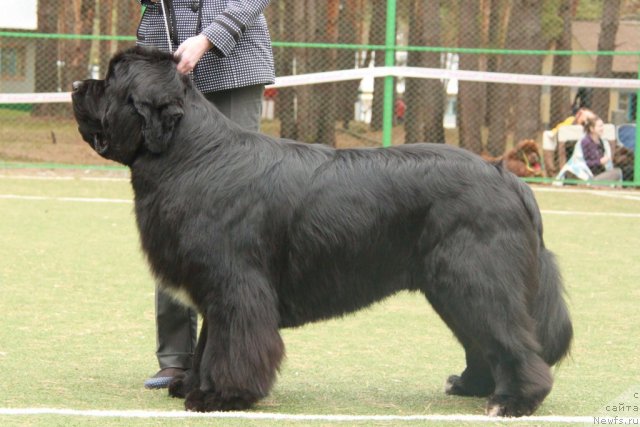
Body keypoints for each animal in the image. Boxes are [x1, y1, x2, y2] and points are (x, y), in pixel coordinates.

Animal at [72, 47, 572, 418]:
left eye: (112, 78)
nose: (77, 86)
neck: (194, 156)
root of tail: (506, 176)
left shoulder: (237, 286)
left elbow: (233, 345)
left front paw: (220, 396)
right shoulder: (215, 288)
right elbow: (209, 342)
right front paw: (194, 385)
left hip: (474, 278)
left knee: (512, 339)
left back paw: (512, 401)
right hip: (452, 286)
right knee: (483, 339)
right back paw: (471, 385)